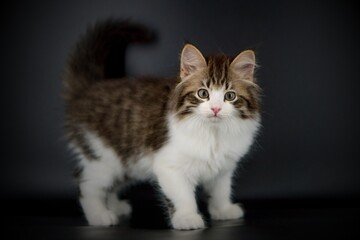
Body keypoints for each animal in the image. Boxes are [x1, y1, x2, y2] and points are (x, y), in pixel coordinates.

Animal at [64, 19, 262, 231]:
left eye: (230, 96)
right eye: (203, 93)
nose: (216, 109)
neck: (213, 133)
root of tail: (87, 91)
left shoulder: (223, 168)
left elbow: (220, 190)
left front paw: (223, 210)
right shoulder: (170, 166)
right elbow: (182, 197)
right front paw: (187, 218)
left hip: (124, 163)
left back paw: (115, 206)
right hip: (103, 158)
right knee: (87, 184)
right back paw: (100, 215)